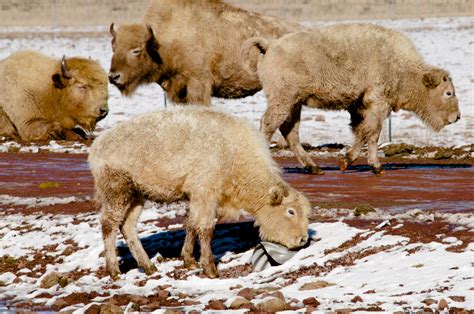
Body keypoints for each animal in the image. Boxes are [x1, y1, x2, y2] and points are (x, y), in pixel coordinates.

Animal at [88, 106, 312, 278]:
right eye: (290, 212)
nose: (302, 239)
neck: (232, 152)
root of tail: (98, 145)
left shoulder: (198, 196)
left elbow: (191, 224)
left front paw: (188, 259)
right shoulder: (205, 192)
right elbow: (205, 229)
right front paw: (209, 267)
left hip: (136, 195)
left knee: (128, 227)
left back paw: (148, 266)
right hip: (117, 191)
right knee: (109, 225)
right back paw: (114, 270)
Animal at [241, 22, 460, 174]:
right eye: (448, 92)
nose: (456, 117)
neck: (401, 67)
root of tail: (270, 45)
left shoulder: (359, 107)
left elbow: (362, 132)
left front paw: (349, 161)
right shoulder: (377, 105)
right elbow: (371, 133)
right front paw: (374, 166)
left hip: (294, 103)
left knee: (290, 132)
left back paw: (313, 168)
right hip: (283, 100)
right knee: (269, 124)